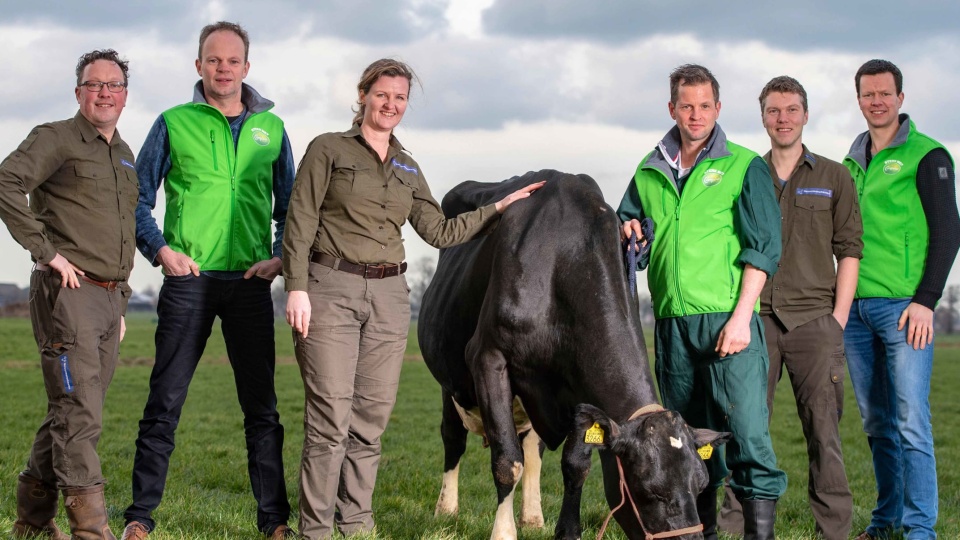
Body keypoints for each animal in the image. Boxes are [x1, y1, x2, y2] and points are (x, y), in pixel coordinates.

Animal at [418, 170, 728, 540]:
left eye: (701, 484)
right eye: (647, 490)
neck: (563, 262)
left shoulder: (583, 389)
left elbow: (575, 465)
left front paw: (566, 531)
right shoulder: (487, 358)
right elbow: (507, 461)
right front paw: (503, 533)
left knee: (532, 448)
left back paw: (532, 516)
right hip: (451, 383)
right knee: (454, 438)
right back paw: (446, 509)